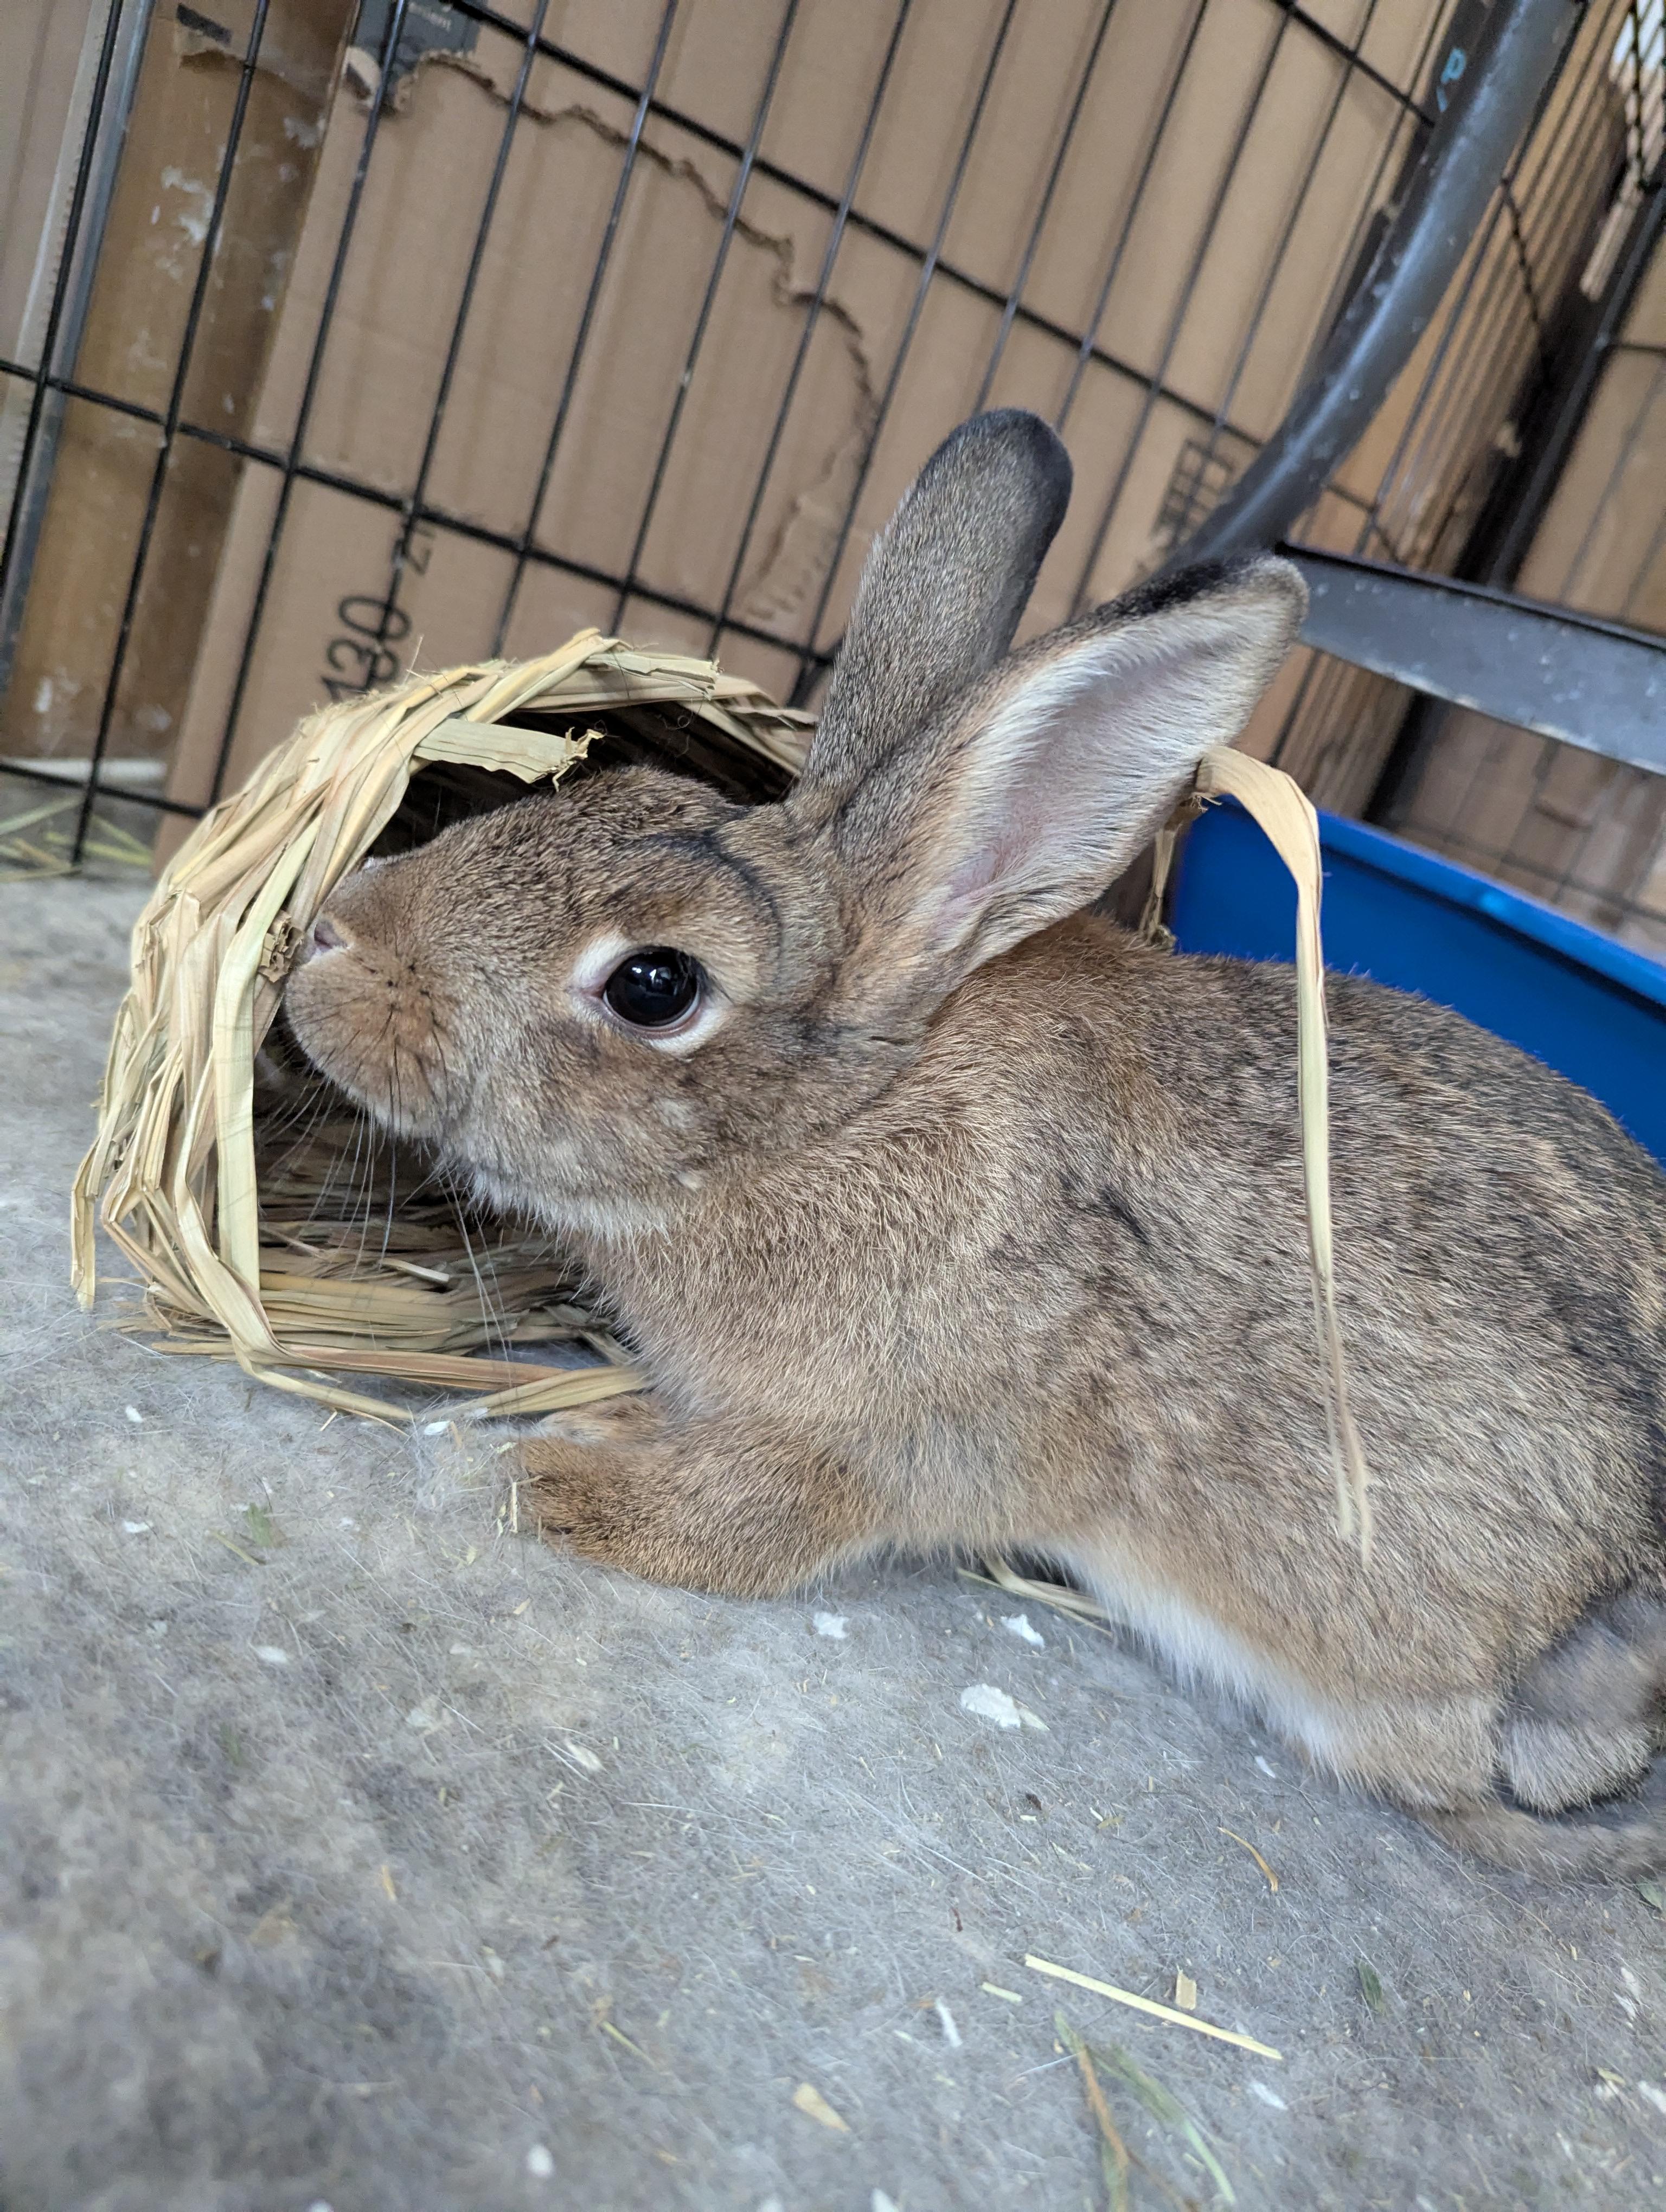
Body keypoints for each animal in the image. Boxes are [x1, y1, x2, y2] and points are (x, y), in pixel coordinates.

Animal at [285, 409, 1666, 1881]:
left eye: (654, 985)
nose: (328, 945)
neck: (837, 1122)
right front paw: (605, 1415)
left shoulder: (890, 1443)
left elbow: (754, 1522)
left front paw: (559, 1482)